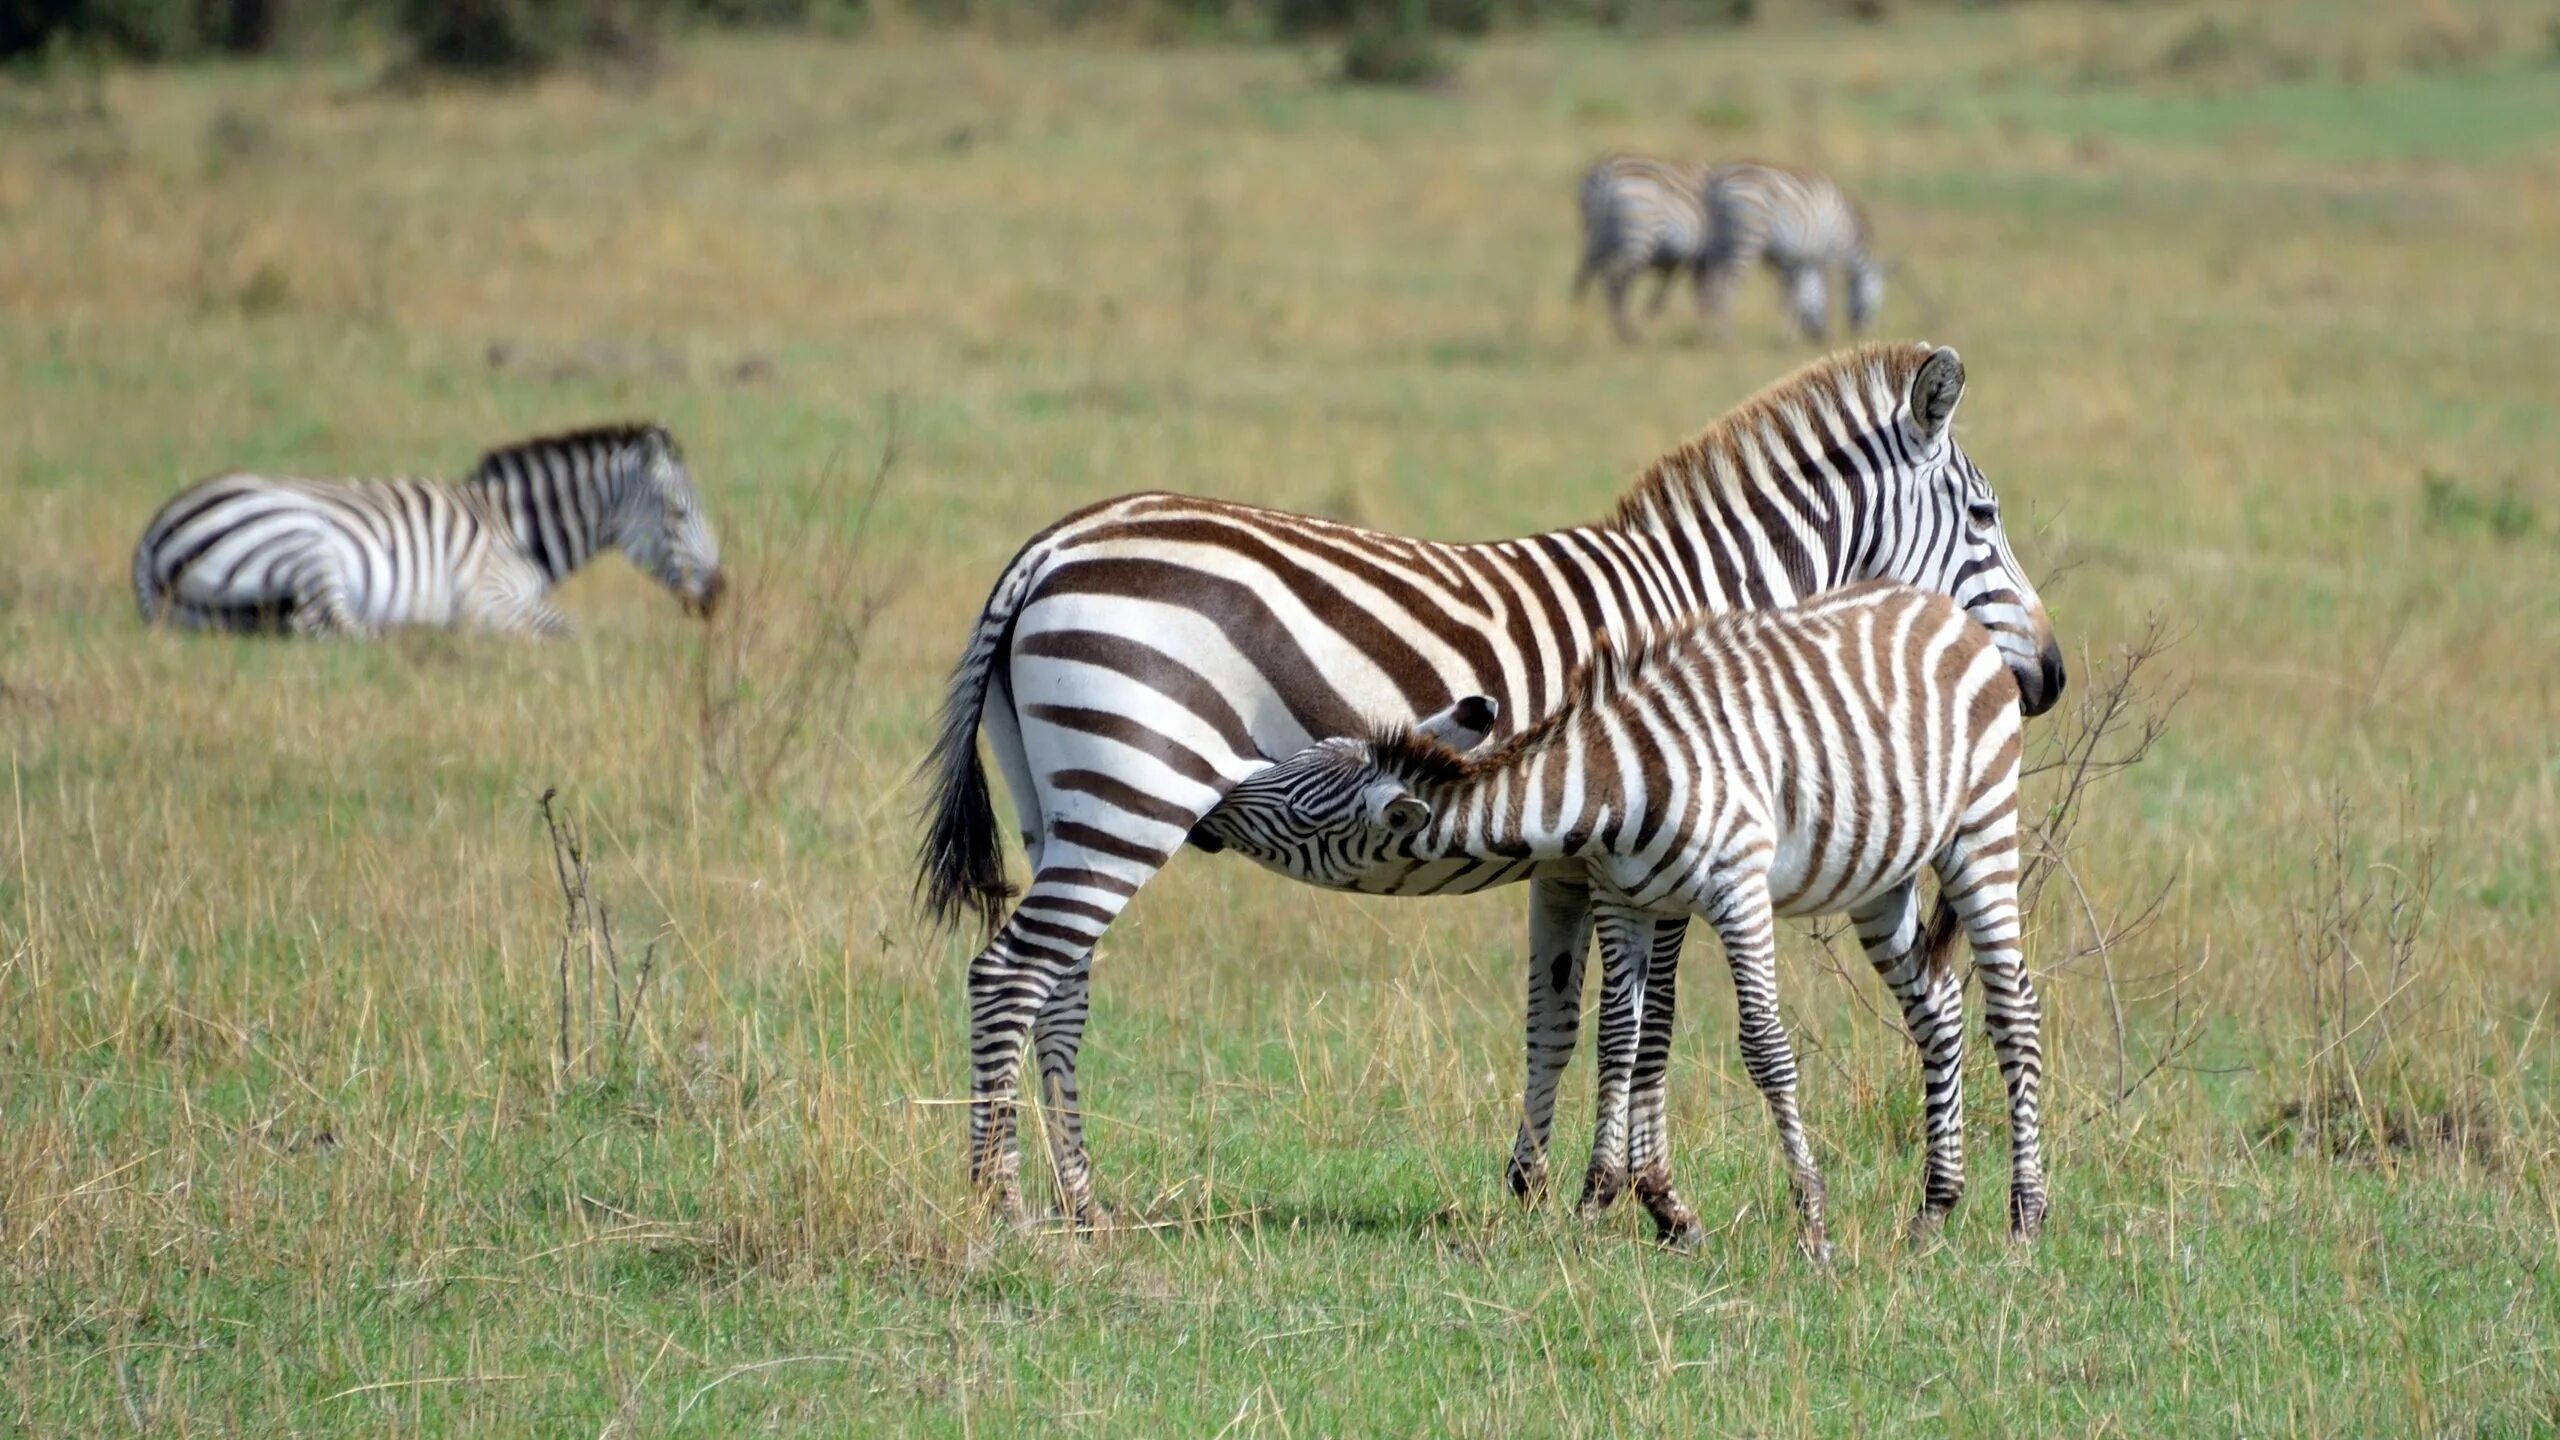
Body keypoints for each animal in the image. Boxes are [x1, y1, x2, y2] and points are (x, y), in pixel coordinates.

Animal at [136, 420, 727, 632]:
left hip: (213, 609)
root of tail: (152, 532)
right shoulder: (490, 597)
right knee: (328, 625)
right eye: (677, 514)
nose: (720, 594)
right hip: (303, 541)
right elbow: (569, 628)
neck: (517, 530)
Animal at [1187, 576, 2048, 1250]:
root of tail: (1944, 609)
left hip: (1981, 831)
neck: (1614, 786)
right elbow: (1618, 1039)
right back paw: (1934, 1212)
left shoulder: (1737, 887)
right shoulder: (1623, 897)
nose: (1205, 812)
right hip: (1882, 876)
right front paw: (1597, 1199)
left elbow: (1763, 1045)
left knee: (2013, 1009)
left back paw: (2026, 1217)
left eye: (1301, 808)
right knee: (1938, 1010)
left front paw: (1812, 1220)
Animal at [1566, 154, 1710, 340]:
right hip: (1638, 239)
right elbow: (1667, 294)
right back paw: (1626, 332)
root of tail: (1607, 173)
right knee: (1620, 284)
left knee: (1586, 277)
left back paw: (1576, 318)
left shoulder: (1674, 263)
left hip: (1595, 238)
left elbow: (1661, 295)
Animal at [1710, 161, 1894, 340]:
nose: (1860, 333)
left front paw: (1793, 335)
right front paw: (1828, 332)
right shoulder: (1831, 255)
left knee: (1712, 282)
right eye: (1877, 301)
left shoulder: (1798, 259)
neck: (1850, 232)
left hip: (1722, 241)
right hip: (1749, 236)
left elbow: (1796, 295)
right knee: (1727, 284)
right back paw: (1728, 336)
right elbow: (1826, 294)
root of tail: (1719, 179)